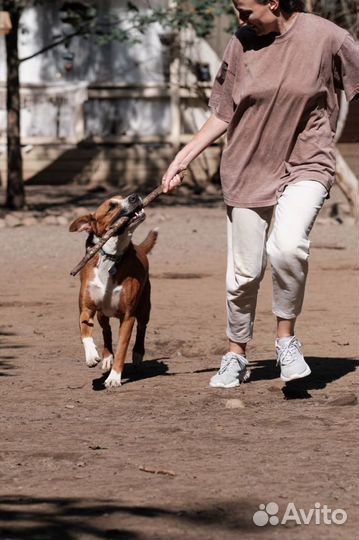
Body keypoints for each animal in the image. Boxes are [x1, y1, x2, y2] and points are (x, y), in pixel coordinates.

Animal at [69, 194, 158, 388]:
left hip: (144, 307)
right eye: (111, 207)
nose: (134, 196)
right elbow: (84, 332)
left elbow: (123, 347)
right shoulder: (86, 309)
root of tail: (139, 247)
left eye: (123, 198)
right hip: (102, 314)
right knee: (106, 331)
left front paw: (114, 377)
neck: (111, 257)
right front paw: (91, 355)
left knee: (142, 327)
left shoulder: (128, 316)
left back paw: (138, 353)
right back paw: (107, 356)